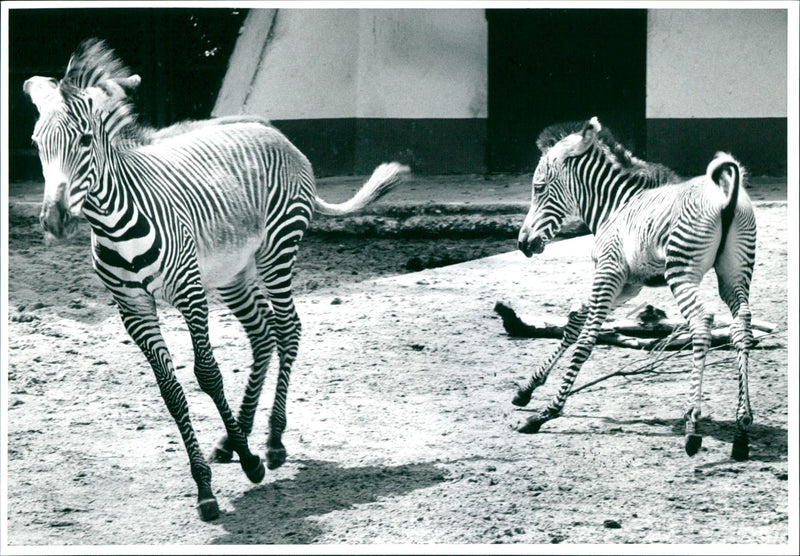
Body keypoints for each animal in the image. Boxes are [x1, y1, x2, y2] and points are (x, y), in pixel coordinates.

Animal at [24, 39, 410, 521]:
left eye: (85, 140)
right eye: (37, 143)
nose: (54, 220)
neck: (113, 220)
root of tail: (276, 133)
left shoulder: (190, 292)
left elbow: (207, 374)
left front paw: (249, 462)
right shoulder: (133, 309)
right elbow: (171, 391)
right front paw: (207, 485)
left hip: (276, 253)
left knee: (288, 329)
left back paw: (272, 441)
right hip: (232, 274)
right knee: (262, 335)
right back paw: (234, 437)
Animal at [513, 117, 757, 461]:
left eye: (539, 187)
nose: (523, 243)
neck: (616, 206)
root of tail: (727, 193)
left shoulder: (608, 272)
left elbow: (586, 339)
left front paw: (547, 412)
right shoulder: (628, 285)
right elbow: (573, 323)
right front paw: (527, 389)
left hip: (681, 271)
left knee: (702, 322)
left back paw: (692, 426)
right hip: (736, 273)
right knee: (742, 326)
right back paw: (741, 428)